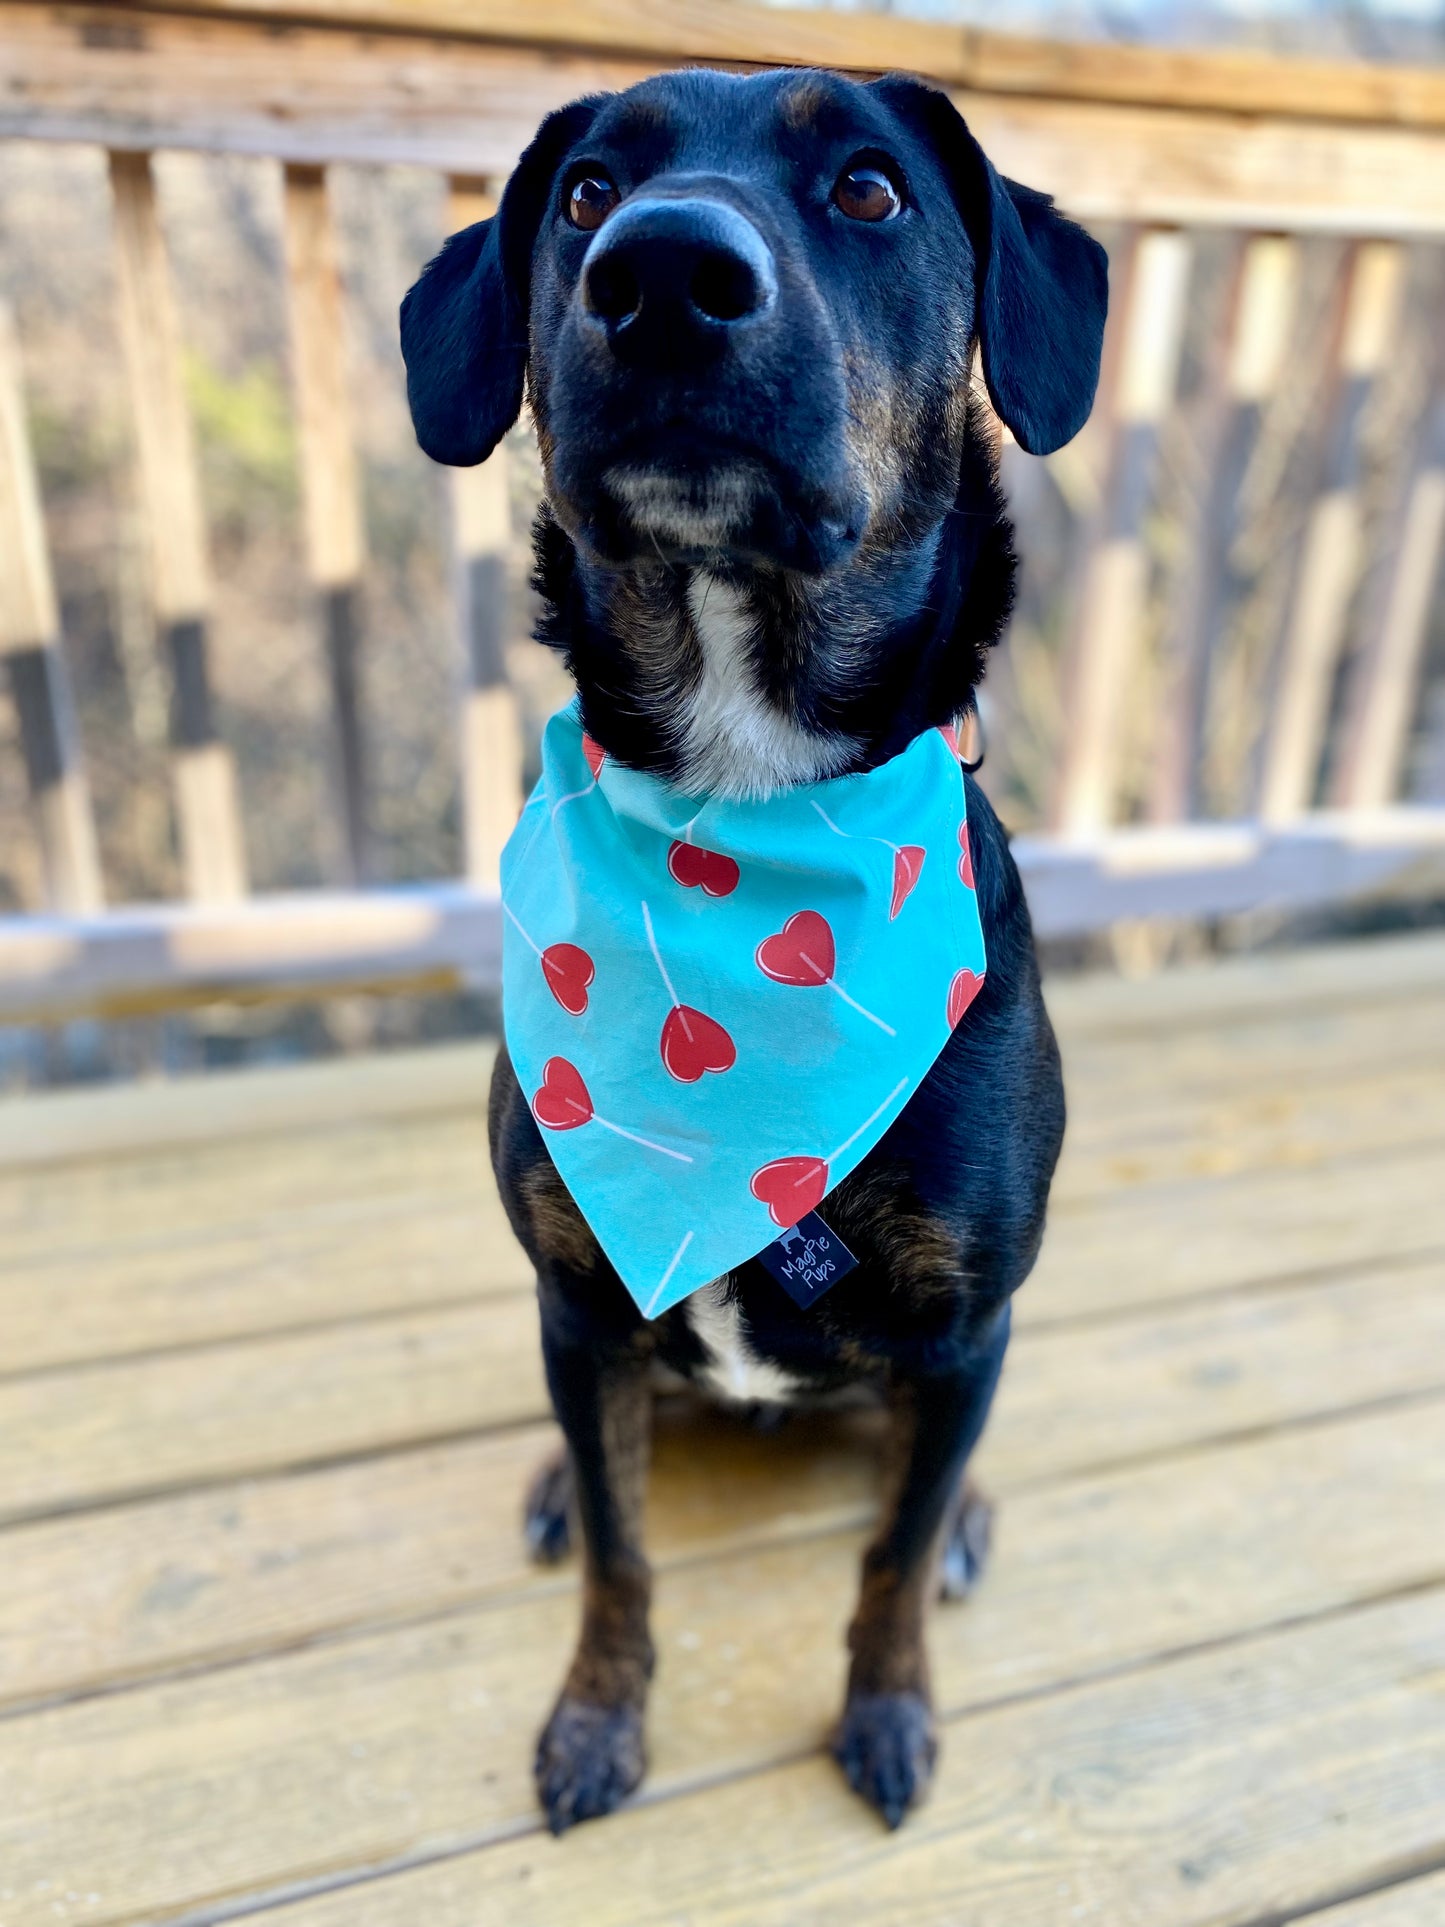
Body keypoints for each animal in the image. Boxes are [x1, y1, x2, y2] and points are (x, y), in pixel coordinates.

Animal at [404, 64, 1109, 1834]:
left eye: (868, 189)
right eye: (586, 190)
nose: (659, 274)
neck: (744, 805)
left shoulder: (963, 1327)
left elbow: (890, 1557)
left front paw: (889, 1704)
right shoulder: (577, 1301)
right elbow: (623, 1555)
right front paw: (598, 1714)